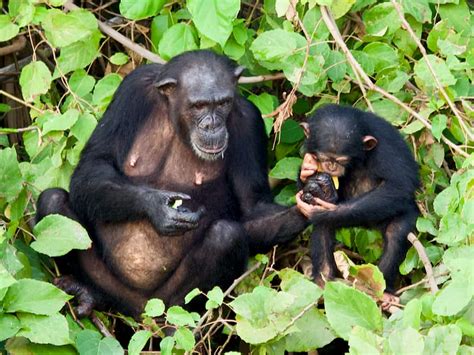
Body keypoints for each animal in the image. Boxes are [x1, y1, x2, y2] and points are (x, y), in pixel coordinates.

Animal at [36, 49, 308, 318]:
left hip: (167, 301)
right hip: (112, 287)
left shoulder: (249, 122)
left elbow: (253, 206)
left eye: (222, 103)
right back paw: (87, 292)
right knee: (53, 200)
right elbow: (94, 163)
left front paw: (306, 208)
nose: (212, 125)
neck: (178, 122)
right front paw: (157, 206)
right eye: (198, 106)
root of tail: (141, 311)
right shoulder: (131, 90)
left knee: (226, 236)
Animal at [296, 103, 418, 308]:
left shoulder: (386, 146)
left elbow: (398, 184)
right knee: (322, 230)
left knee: (397, 232)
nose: (331, 165)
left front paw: (325, 212)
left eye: (342, 160)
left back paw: (383, 291)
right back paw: (323, 279)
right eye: (324, 158)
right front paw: (307, 172)